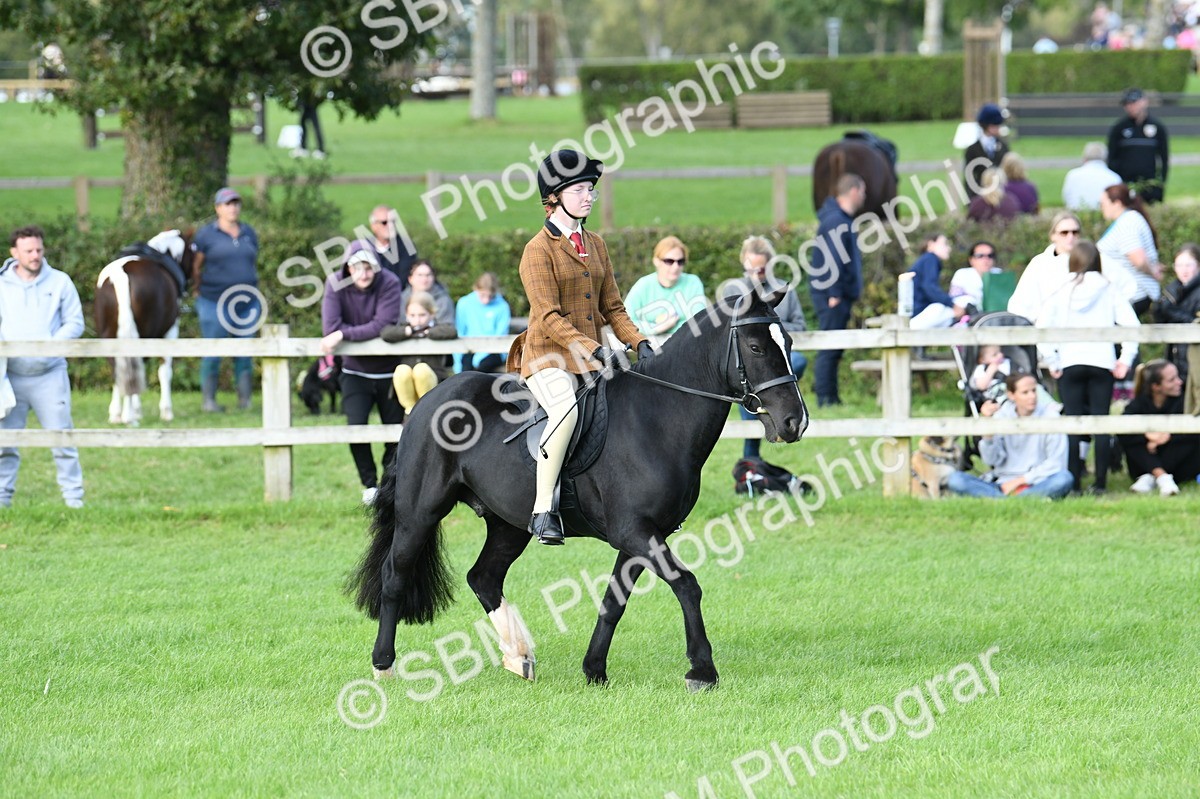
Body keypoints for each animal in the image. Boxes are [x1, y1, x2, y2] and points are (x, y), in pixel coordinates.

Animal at [94, 229, 193, 425]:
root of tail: (121, 277)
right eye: (193, 250)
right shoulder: (170, 331)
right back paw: (129, 416)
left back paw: (118, 414)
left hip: (110, 335)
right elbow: (164, 371)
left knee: (118, 370)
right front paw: (165, 411)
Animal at [347, 287, 809, 691]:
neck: (657, 418)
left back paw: (518, 656)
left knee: (483, 577)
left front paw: (594, 670)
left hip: (508, 524)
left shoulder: (640, 536)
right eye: (756, 348)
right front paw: (702, 671)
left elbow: (614, 602)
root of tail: (428, 399)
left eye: (787, 341)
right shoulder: (635, 532)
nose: (794, 422)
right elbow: (687, 585)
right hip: (420, 512)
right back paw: (384, 666)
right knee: (395, 576)